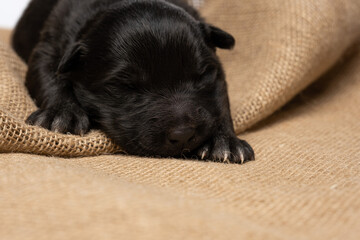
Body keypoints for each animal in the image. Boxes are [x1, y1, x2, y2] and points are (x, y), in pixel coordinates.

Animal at [12, 0, 255, 163]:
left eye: (202, 76)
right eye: (125, 86)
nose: (183, 134)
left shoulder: (216, 70)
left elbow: (220, 102)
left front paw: (224, 141)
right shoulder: (49, 47)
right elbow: (50, 77)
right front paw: (62, 113)